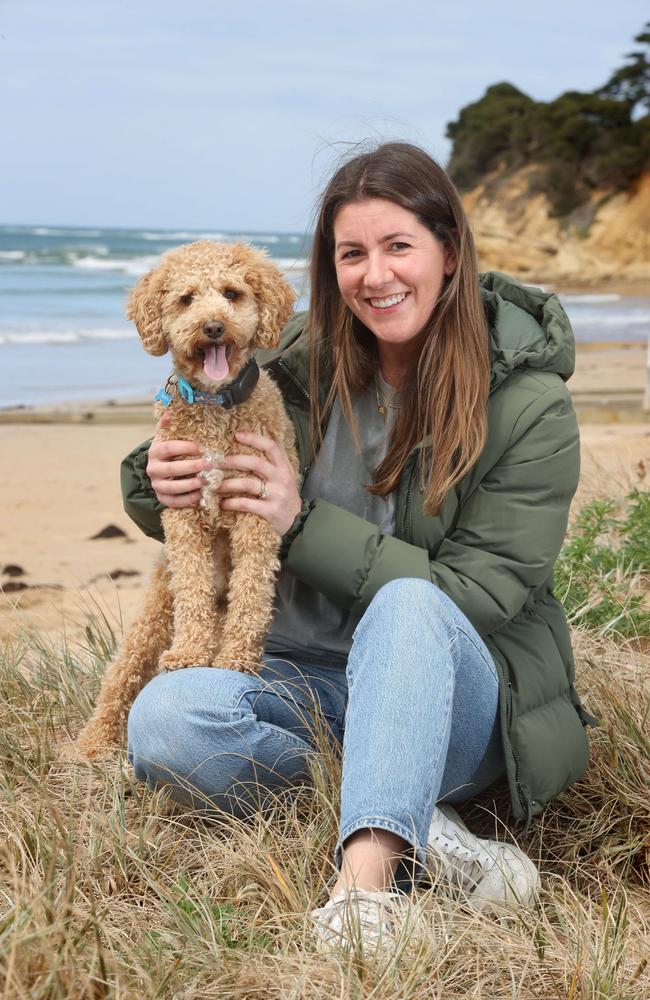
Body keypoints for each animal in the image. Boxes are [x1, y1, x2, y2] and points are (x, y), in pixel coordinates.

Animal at [75, 240, 296, 756]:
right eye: (186, 299)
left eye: (232, 293)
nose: (212, 326)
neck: (215, 407)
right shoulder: (182, 514)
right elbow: (193, 589)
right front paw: (193, 653)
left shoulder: (258, 511)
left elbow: (252, 591)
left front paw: (235, 658)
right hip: (155, 608)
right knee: (123, 672)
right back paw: (92, 744)